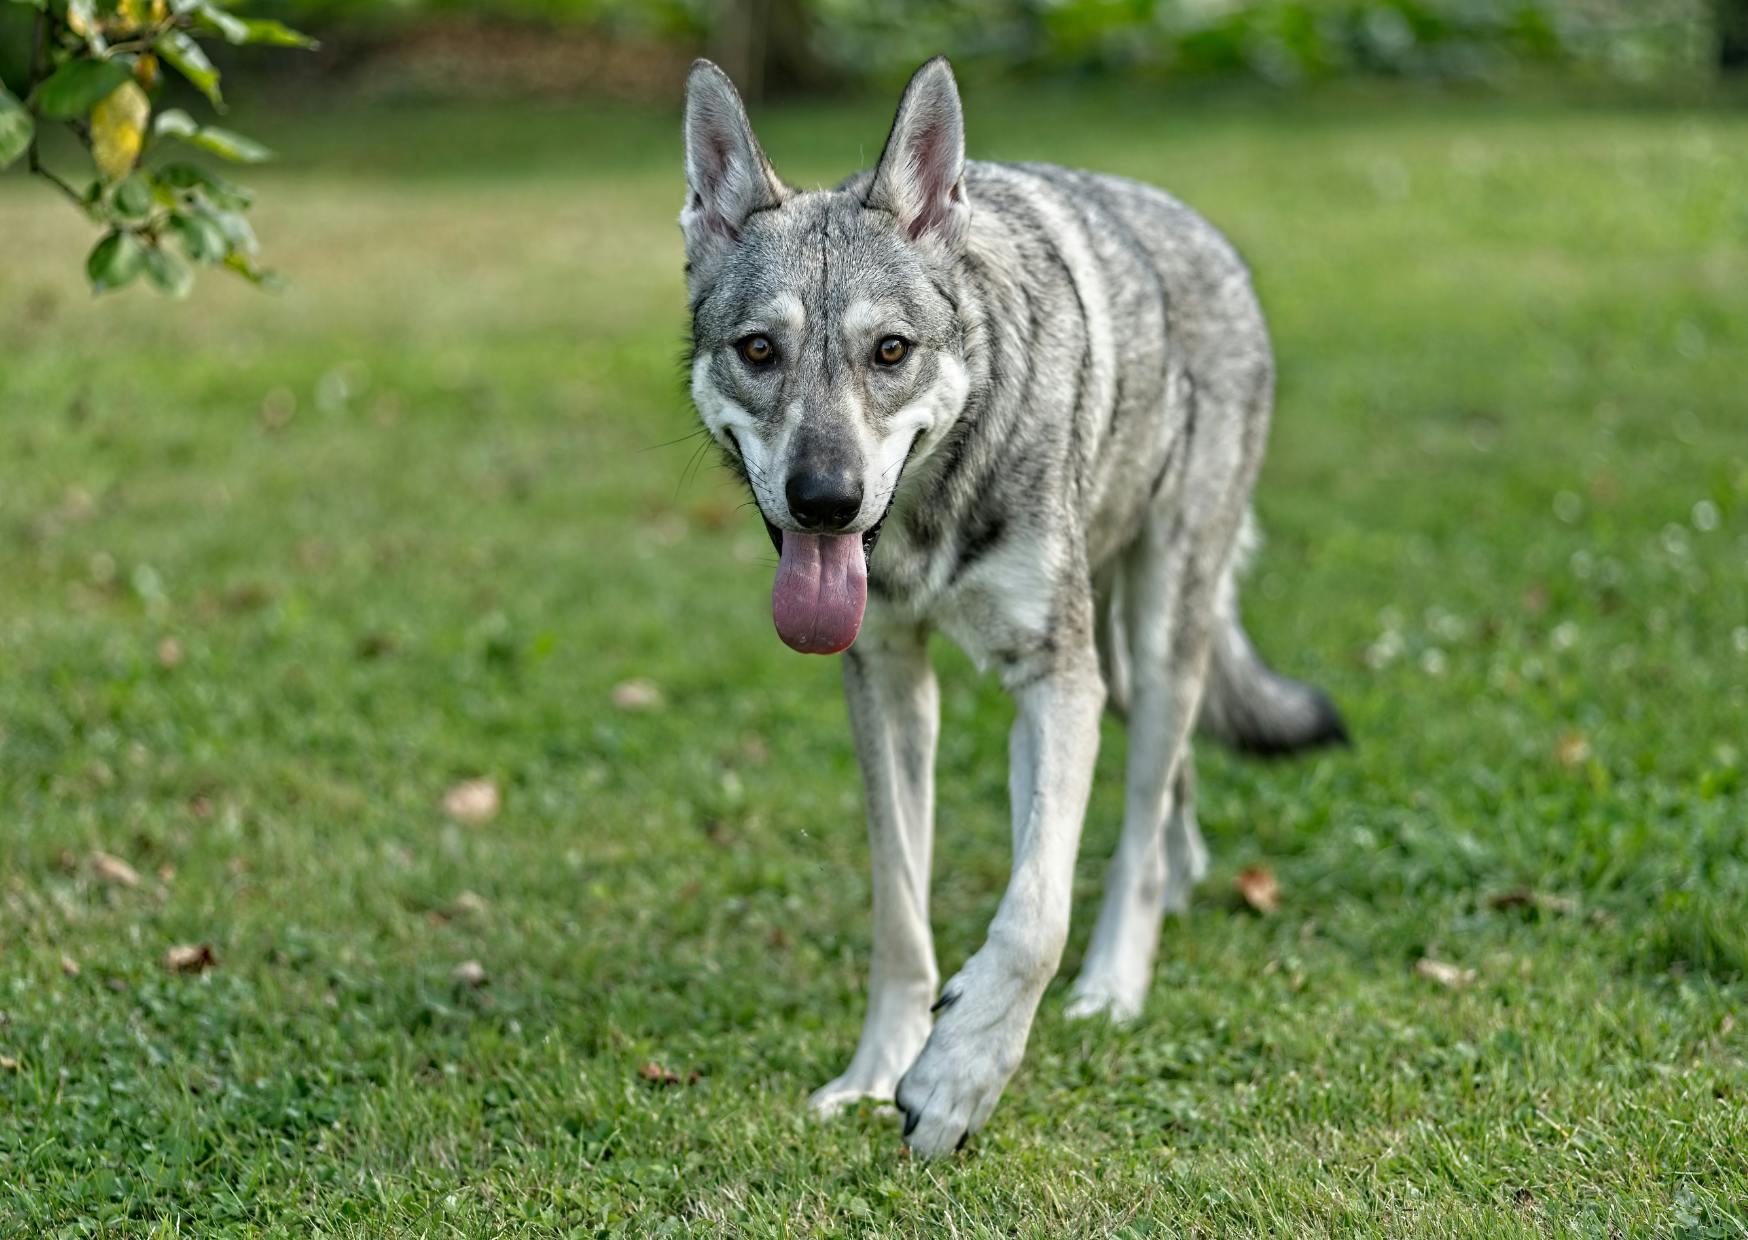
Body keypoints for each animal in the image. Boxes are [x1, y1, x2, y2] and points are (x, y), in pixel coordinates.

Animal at [680, 55, 1346, 1157]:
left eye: (890, 351)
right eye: (759, 350)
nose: (825, 499)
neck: (929, 514)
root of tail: (1207, 236)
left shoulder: (1055, 680)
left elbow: (1034, 913)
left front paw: (957, 1077)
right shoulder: (890, 681)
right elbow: (900, 911)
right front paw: (878, 1070)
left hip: (1150, 640)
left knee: (1138, 832)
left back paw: (1114, 985)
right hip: (1123, 661)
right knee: (1169, 794)